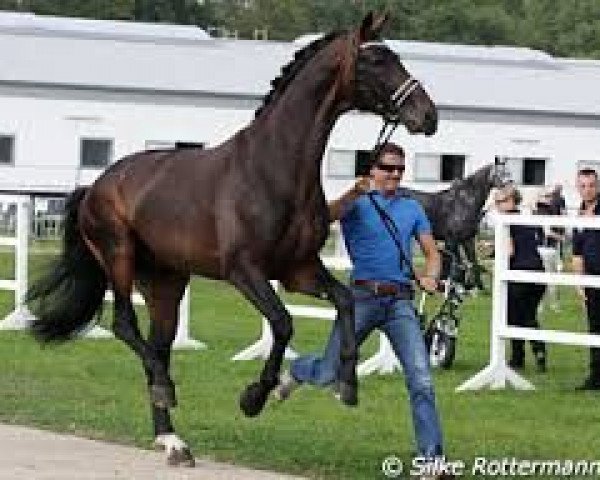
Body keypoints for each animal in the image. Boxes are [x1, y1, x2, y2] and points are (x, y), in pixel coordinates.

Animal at [24, 11, 436, 466]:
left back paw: (171, 438)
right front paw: (254, 397)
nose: (428, 115)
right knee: (126, 327)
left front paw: (346, 383)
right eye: (376, 61)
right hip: (119, 257)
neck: (273, 169)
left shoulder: (298, 271)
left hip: (166, 281)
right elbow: (283, 323)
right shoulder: (244, 271)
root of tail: (96, 185)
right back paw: (167, 391)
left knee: (159, 344)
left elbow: (345, 301)